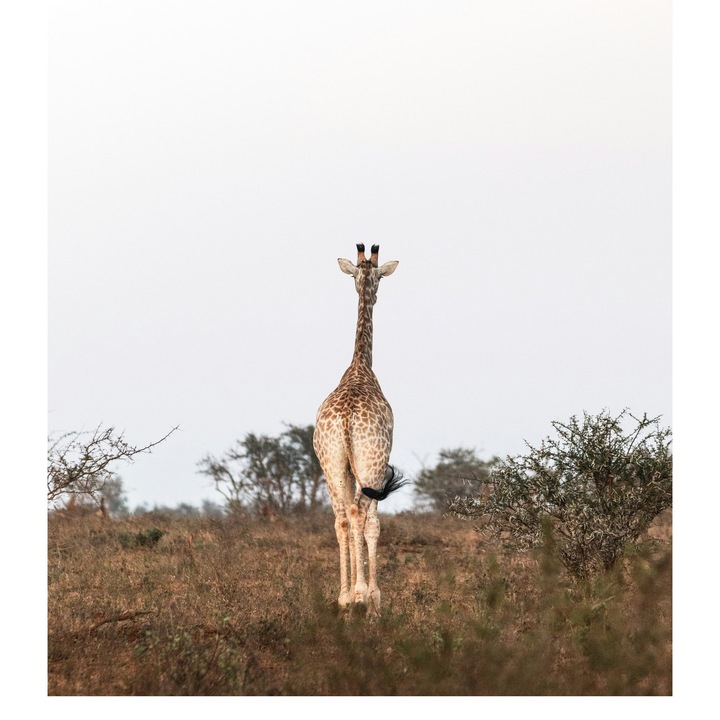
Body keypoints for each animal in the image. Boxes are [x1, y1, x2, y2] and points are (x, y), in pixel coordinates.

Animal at [313, 243, 407, 613]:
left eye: (368, 277)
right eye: (379, 278)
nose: (375, 294)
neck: (360, 367)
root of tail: (346, 419)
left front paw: (354, 593)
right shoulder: (379, 466)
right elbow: (375, 525)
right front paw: (373, 597)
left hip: (332, 464)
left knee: (342, 517)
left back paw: (343, 597)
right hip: (371, 463)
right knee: (360, 515)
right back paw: (361, 595)